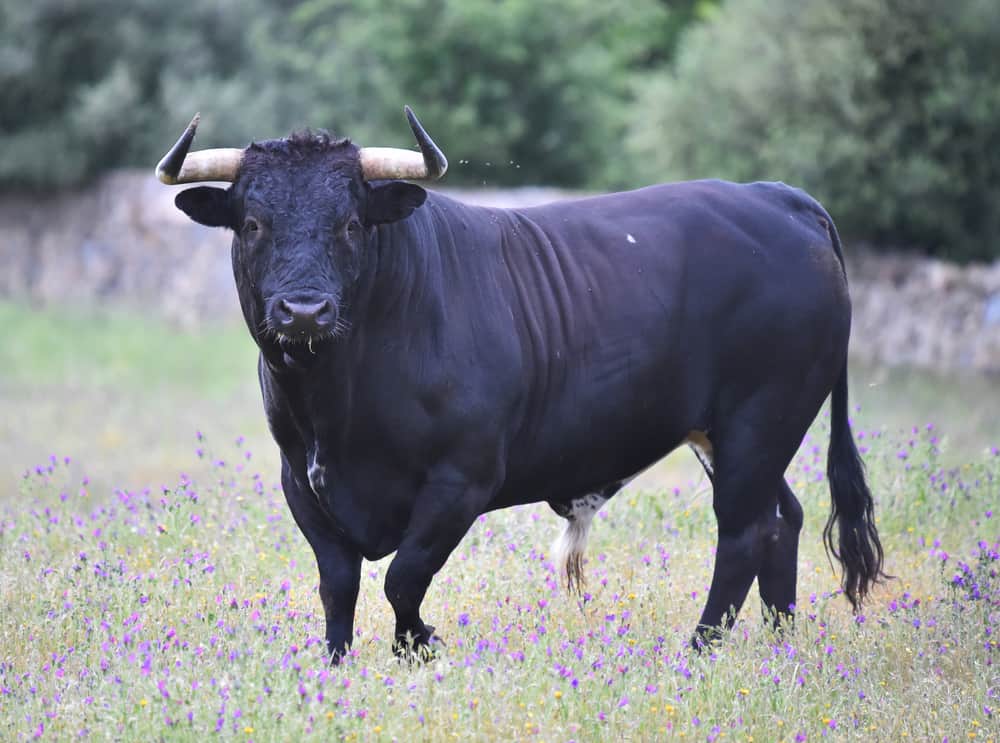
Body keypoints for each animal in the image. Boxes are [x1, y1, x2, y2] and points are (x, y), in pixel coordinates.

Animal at [160, 112, 888, 664]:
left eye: (352, 222)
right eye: (254, 222)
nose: (304, 311)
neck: (336, 405)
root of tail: (777, 197)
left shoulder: (462, 476)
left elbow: (403, 577)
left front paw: (420, 648)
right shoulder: (302, 478)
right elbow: (338, 583)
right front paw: (336, 667)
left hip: (763, 418)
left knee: (742, 532)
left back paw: (700, 650)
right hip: (733, 435)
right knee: (779, 519)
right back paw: (779, 640)